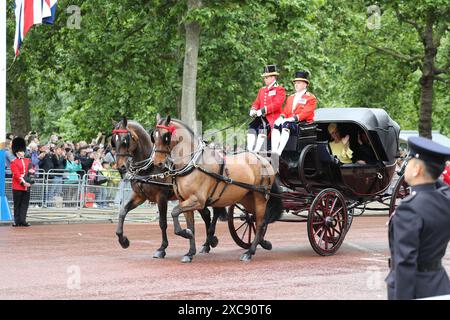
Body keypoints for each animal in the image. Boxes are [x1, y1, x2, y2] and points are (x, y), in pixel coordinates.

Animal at [111, 117, 225, 262]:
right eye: (113, 141)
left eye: (125, 140)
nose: (120, 167)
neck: (148, 168)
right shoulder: (139, 196)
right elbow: (122, 212)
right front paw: (123, 240)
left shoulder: (161, 197)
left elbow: (162, 223)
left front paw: (162, 249)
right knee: (206, 215)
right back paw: (207, 244)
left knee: (214, 213)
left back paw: (211, 239)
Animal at [153, 115, 284, 260]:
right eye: (153, 136)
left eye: (166, 136)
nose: (157, 162)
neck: (193, 164)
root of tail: (264, 159)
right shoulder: (184, 201)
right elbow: (190, 225)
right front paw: (190, 252)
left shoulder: (197, 201)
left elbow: (174, 212)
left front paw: (187, 234)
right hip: (248, 198)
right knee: (257, 219)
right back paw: (263, 243)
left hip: (260, 197)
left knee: (260, 222)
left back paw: (250, 252)